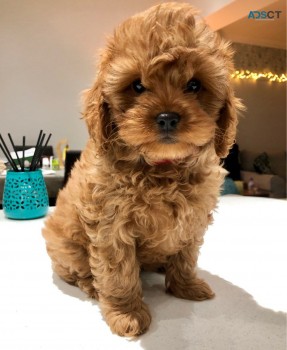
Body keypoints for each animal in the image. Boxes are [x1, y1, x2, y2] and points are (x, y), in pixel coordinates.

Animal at [42, 2, 243, 336]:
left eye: (194, 85)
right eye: (137, 86)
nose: (166, 117)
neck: (162, 166)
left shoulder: (193, 219)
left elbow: (186, 256)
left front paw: (185, 287)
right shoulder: (111, 226)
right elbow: (118, 273)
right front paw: (127, 314)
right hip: (66, 245)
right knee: (77, 270)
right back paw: (92, 285)